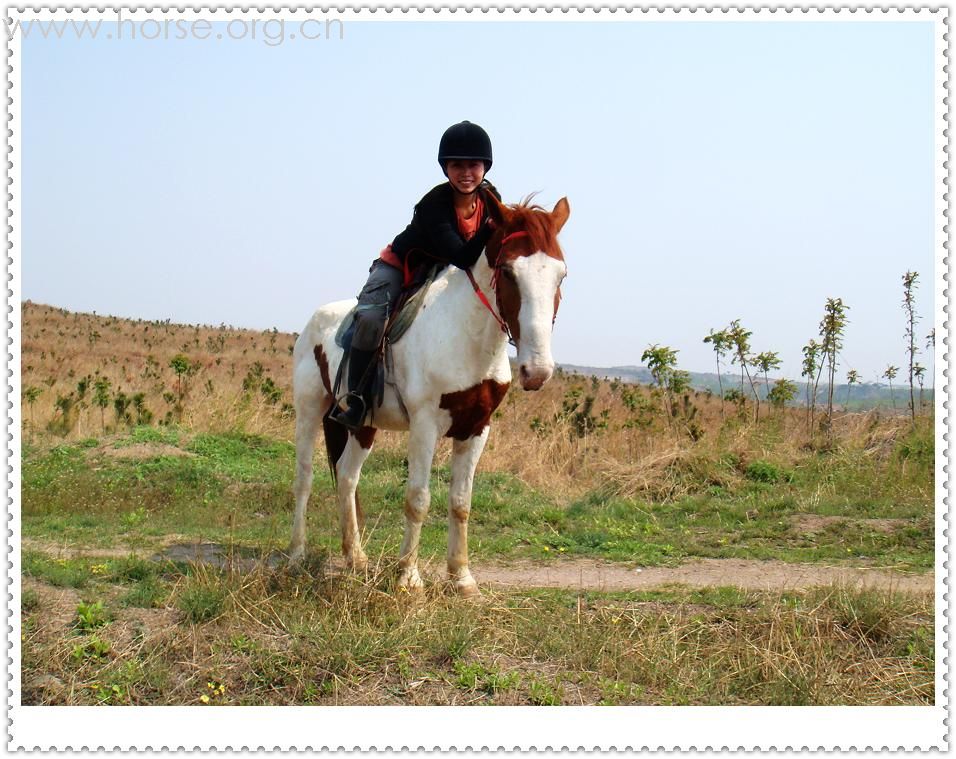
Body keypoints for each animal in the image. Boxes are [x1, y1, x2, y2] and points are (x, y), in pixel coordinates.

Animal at [288, 190, 572, 592]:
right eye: (507, 272)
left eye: (561, 274)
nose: (537, 371)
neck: (466, 336)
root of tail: (313, 320)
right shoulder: (424, 426)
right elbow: (418, 498)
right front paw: (408, 578)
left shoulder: (476, 429)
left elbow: (461, 501)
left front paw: (462, 577)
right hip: (309, 408)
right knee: (305, 478)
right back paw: (296, 555)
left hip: (362, 423)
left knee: (346, 476)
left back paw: (355, 557)